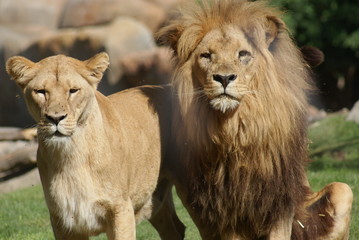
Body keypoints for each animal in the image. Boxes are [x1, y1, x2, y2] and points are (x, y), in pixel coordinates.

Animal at [6, 53, 186, 240]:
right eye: (41, 91)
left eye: (73, 90)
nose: (55, 118)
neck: (71, 155)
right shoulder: (63, 220)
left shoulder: (121, 209)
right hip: (155, 200)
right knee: (175, 229)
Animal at [158, 0, 354, 239]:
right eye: (206, 56)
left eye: (243, 54)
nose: (224, 78)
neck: (234, 129)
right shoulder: (219, 208)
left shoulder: (280, 201)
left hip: (342, 192)